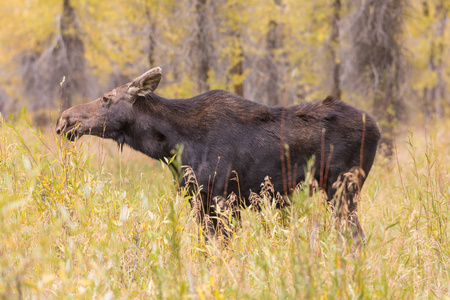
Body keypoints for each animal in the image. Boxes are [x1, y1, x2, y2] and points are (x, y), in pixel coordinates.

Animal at [56, 67, 380, 245]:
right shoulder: (198, 199)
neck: (172, 145)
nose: (64, 119)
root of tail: (377, 129)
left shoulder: (222, 197)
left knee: (356, 237)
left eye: (106, 98)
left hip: (343, 189)